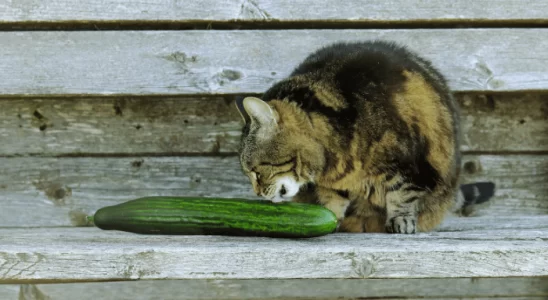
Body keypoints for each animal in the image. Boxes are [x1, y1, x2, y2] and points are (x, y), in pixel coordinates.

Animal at [233, 39, 494, 233]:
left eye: (256, 171)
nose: (257, 193)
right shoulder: (334, 183)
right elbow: (331, 200)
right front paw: (330, 216)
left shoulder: (408, 165)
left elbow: (402, 194)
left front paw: (401, 220)